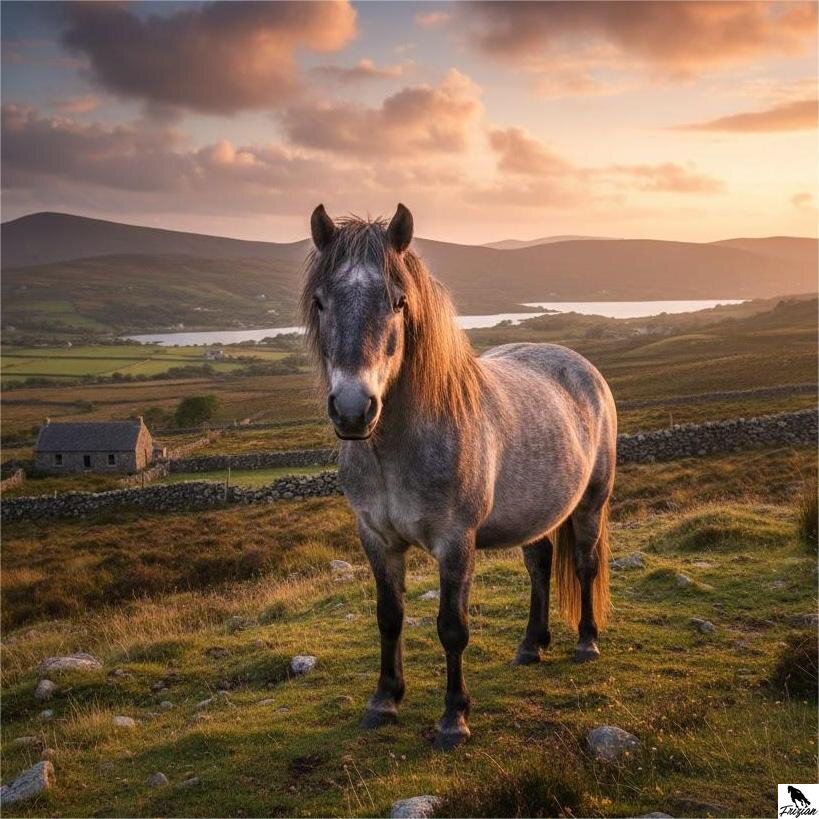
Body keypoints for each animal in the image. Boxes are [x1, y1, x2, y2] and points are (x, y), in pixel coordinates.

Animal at [301, 203, 617, 750]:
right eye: (320, 302)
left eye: (398, 301)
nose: (353, 409)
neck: (395, 451)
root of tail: (581, 365)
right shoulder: (376, 539)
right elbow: (389, 617)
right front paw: (384, 701)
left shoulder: (455, 542)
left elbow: (452, 627)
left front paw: (454, 718)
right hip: (536, 511)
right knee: (539, 565)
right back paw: (531, 645)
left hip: (590, 503)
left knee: (584, 564)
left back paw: (586, 643)